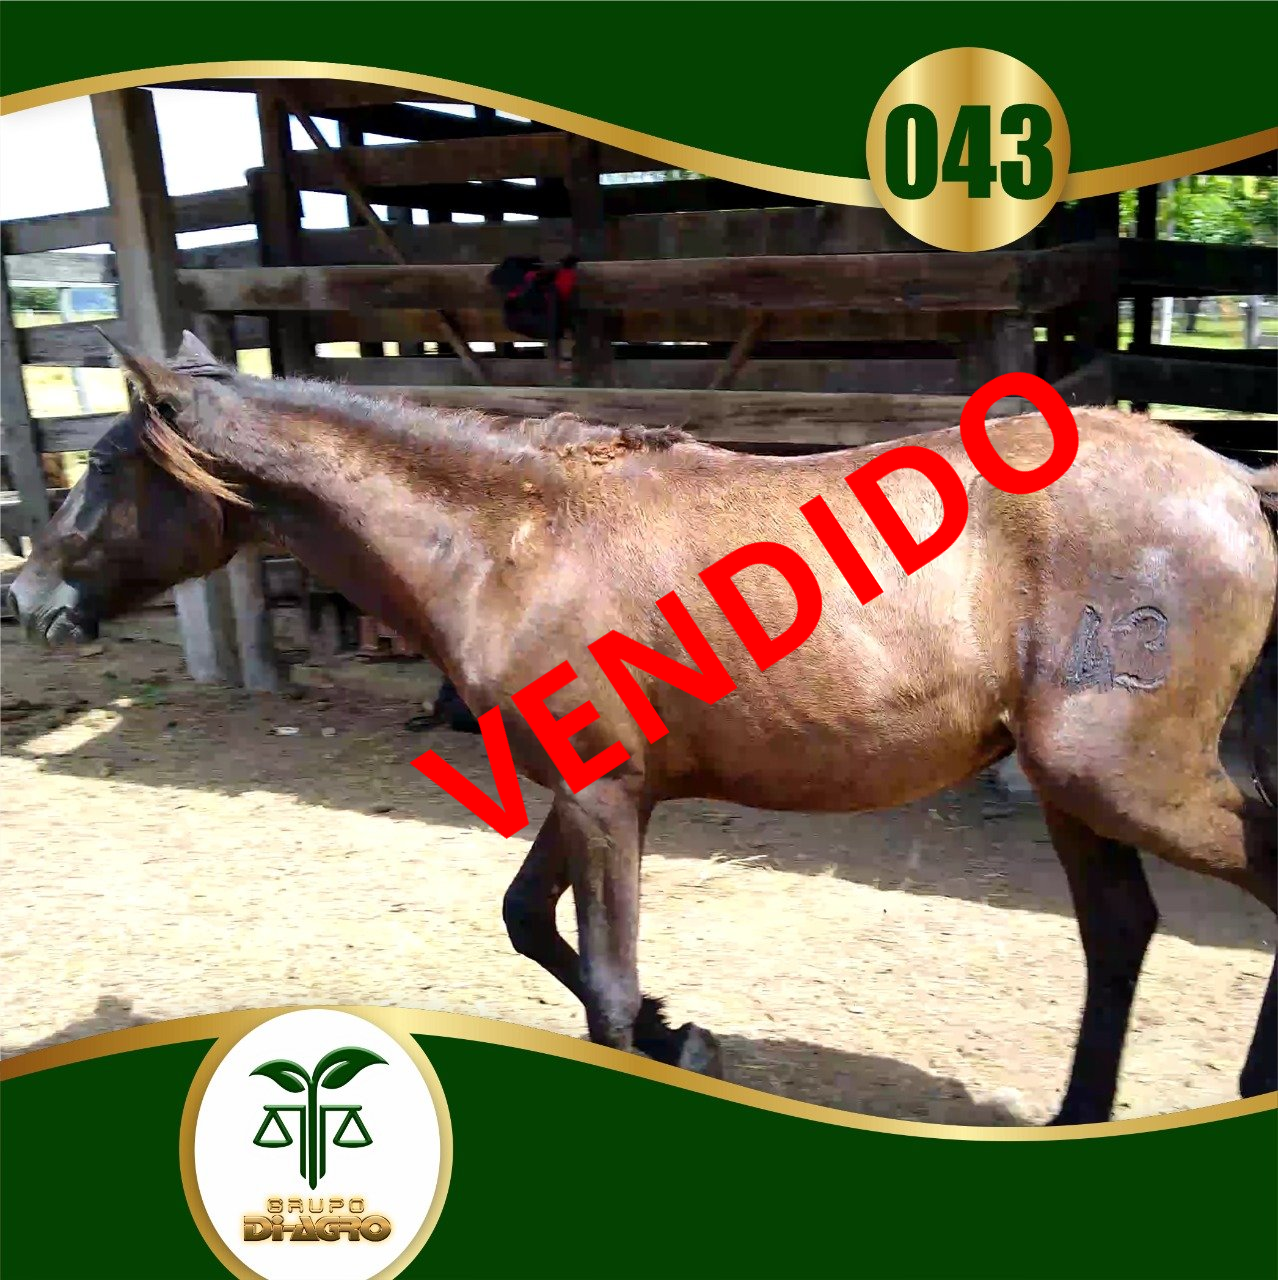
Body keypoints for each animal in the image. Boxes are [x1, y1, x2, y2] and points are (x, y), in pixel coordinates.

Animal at [10, 331, 1276, 1125]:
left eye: (110, 465)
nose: (27, 597)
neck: (515, 542)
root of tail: (1230, 482)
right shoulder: (589, 791)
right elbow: (529, 921)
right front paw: (687, 1033)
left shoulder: (607, 801)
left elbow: (607, 985)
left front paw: (665, 1032)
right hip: (1075, 790)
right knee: (1118, 932)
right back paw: (1075, 1116)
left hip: (1117, 776)